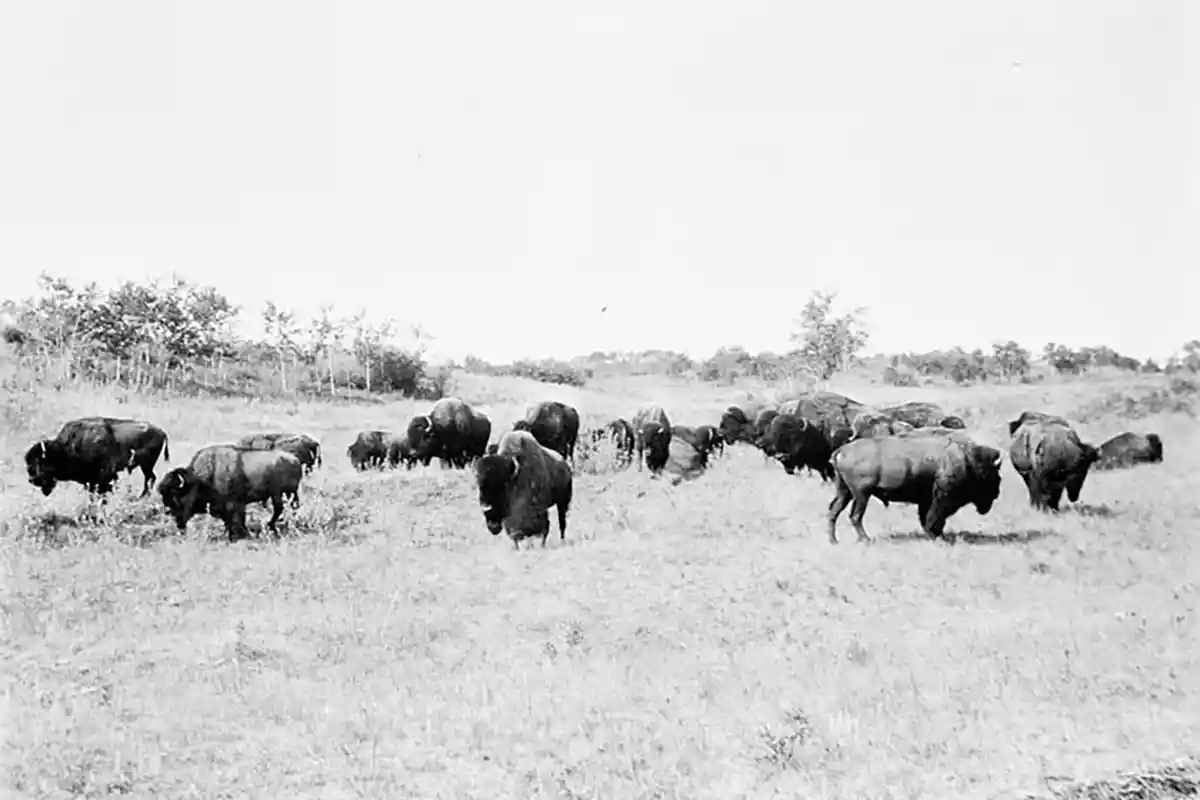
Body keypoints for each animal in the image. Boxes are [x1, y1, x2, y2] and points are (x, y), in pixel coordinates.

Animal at [25, 416, 171, 499]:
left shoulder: (103, 476)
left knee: (150, 478)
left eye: (40, 462)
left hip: (146, 464)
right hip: (146, 465)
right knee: (151, 477)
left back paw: (142, 497)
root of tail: (162, 432)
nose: (32, 479)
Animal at [158, 446, 304, 542]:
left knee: (279, 508)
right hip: (288, 493)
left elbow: (235, 520)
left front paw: (239, 535)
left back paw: (272, 525)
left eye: (176, 496)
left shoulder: (233, 503)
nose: (178, 522)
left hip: (278, 493)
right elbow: (230, 520)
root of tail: (295, 459)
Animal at [828, 429, 1005, 544]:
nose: (996, 494)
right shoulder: (941, 498)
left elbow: (926, 517)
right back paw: (865, 539)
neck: (967, 460)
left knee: (834, 511)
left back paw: (834, 540)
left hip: (845, 492)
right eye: (993, 475)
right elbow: (935, 517)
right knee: (855, 516)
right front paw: (937, 536)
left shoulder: (926, 499)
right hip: (862, 494)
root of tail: (841, 450)